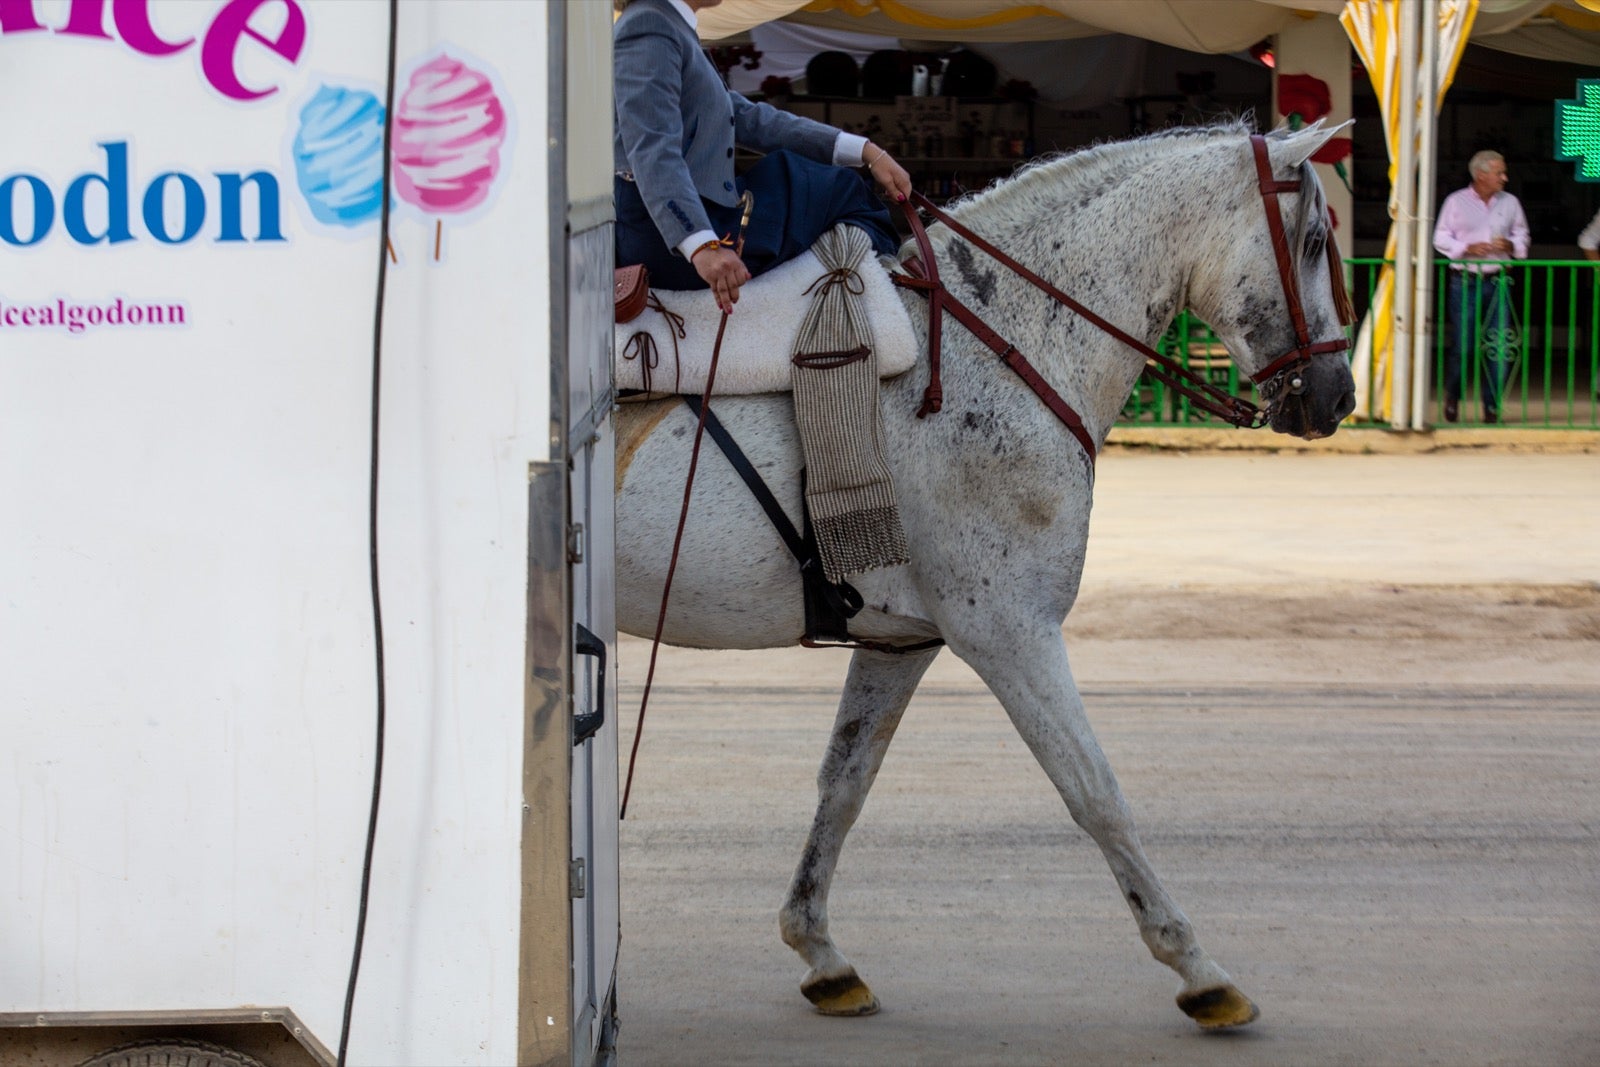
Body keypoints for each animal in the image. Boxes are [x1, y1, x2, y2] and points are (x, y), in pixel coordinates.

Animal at [611, 120, 1350, 1030]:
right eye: (1313, 242)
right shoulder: (1012, 633)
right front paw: (1198, 968)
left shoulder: (900, 642)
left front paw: (820, 951)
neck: (1003, 345)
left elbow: (844, 782)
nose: (1338, 394)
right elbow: (1095, 790)